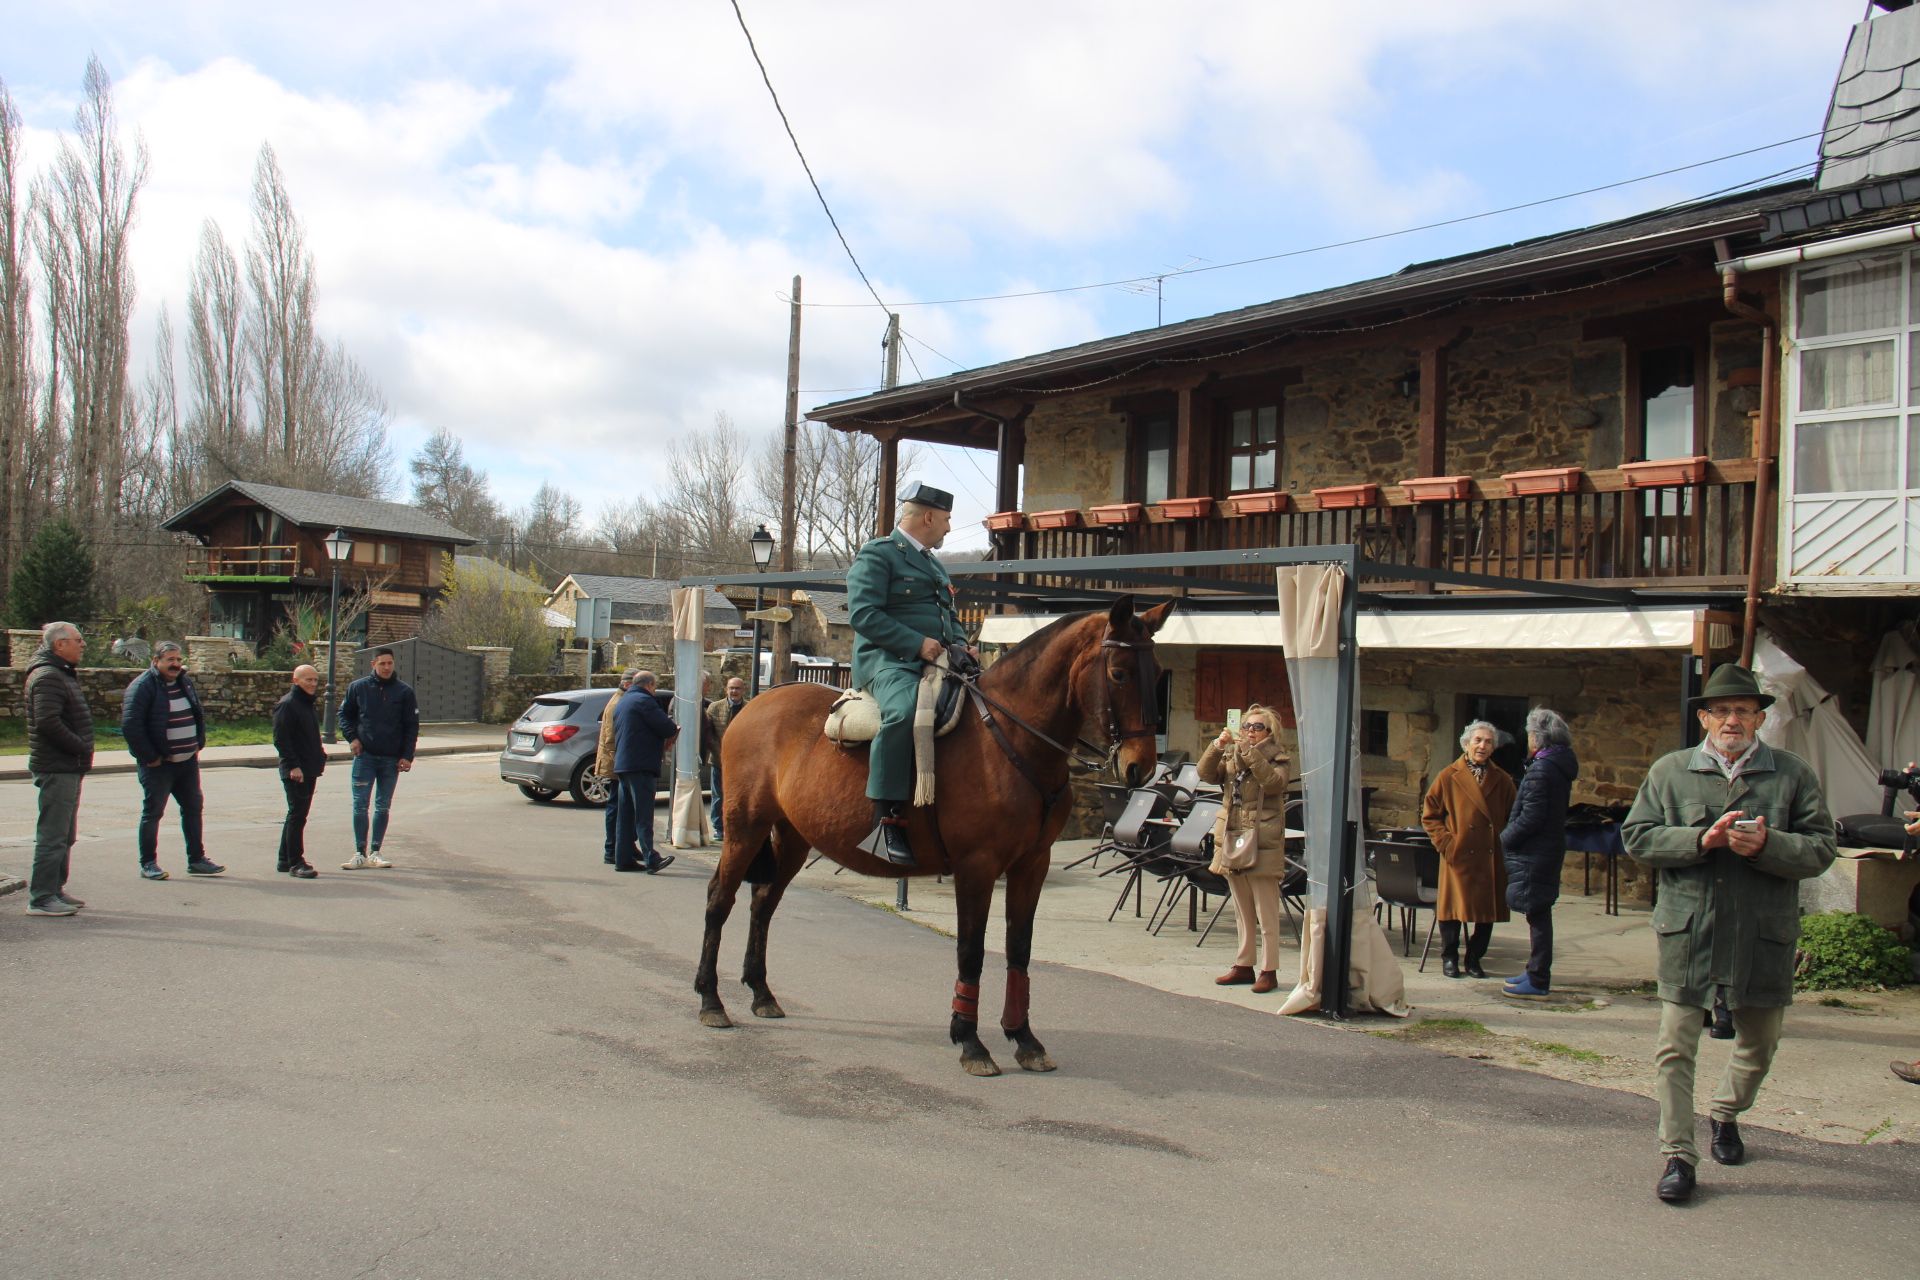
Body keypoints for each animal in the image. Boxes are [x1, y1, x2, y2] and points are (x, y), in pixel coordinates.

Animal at [695, 594, 1167, 1074]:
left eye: (1157, 672)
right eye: (1119, 673)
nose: (1140, 767)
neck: (1011, 738)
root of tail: (756, 703)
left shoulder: (1031, 864)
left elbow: (1019, 947)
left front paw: (1024, 1038)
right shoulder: (977, 867)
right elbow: (971, 951)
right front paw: (971, 1041)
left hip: (792, 836)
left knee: (763, 902)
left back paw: (761, 993)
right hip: (745, 827)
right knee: (720, 898)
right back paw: (711, 999)